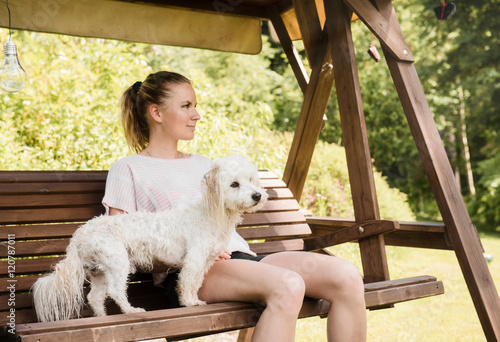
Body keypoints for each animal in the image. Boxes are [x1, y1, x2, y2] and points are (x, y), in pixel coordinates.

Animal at [31, 155, 268, 324]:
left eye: (251, 180)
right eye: (234, 184)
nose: (257, 195)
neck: (211, 213)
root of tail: (81, 232)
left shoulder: (205, 262)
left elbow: (195, 283)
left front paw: (193, 299)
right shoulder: (194, 260)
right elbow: (187, 282)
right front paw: (189, 302)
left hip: (100, 272)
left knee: (95, 297)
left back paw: (103, 317)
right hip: (118, 263)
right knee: (116, 291)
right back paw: (130, 310)